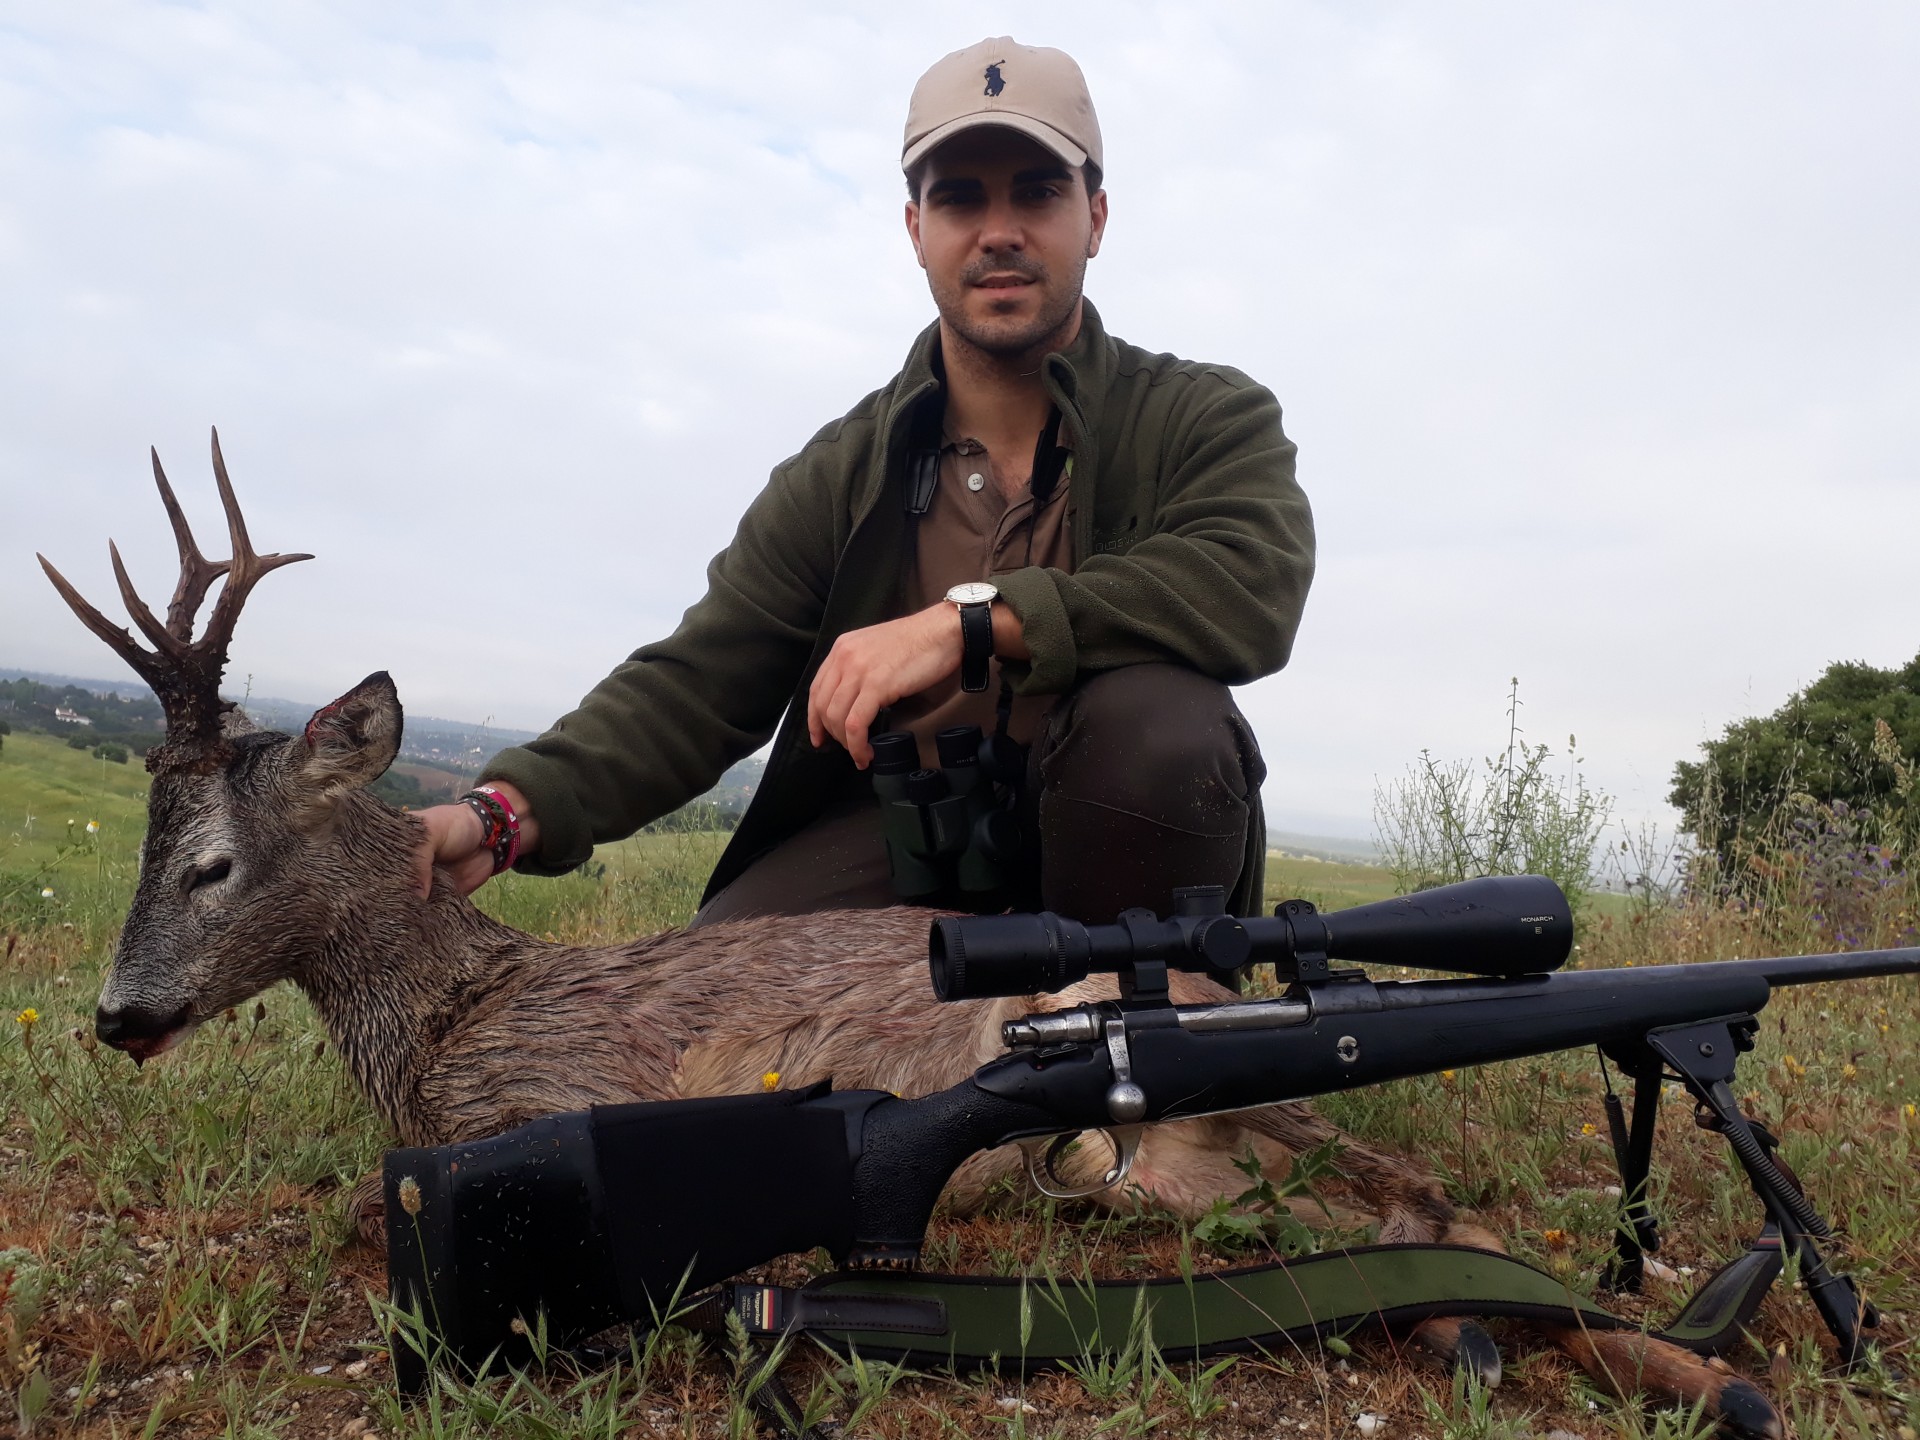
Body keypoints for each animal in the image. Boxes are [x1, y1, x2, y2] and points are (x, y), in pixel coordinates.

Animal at [39, 431, 1782, 1440]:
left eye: (209, 863)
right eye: (157, 847)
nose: (118, 1015)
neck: (449, 1017)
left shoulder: (544, 1106)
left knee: (1413, 1201)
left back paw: (1696, 1365)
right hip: (1157, 1167)